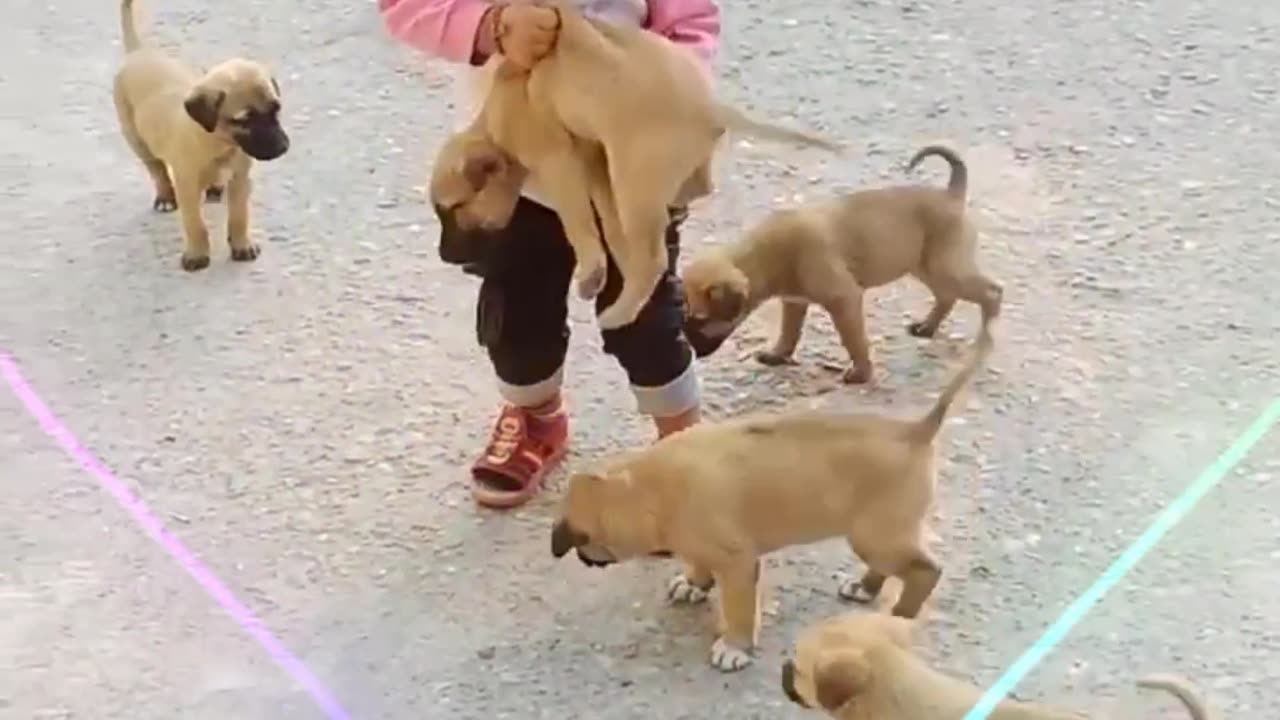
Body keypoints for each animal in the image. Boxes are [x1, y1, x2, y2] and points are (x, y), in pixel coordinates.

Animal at [111, 0, 289, 270]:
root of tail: (138, 53)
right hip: (135, 138)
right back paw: (165, 196)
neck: (217, 142)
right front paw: (196, 254)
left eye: (276, 108)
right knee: (156, 169)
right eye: (243, 120)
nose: (283, 147)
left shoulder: (240, 179)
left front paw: (242, 245)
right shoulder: (186, 185)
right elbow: (195, 224)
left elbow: (240, 216)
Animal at [427, 0, 839, 327]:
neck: (495, 117)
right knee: (688, 197)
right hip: (633, 175)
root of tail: (707, 106)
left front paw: (593, 272)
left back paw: (620, 313)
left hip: (633, 180)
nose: (443, 256)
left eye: (453, 210)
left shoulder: (559, 162)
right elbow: (609, 226)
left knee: (655, 257)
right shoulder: (595, 163)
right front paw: (618, 264)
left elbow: (578, 222)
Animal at [545, 316, 993, 671]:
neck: (644, 488)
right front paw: (695, 583)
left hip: (876, 535)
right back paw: (865, 587)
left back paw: (897, 618)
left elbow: (739, 609)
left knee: (925, 571)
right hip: (876, 536)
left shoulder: (739, 563)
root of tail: (916, 430)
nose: (581, 557)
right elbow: (699, 563)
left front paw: (735, 647)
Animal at [680, 143, 998, 384]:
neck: (764, 256)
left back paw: (986, 333)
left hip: (947, 267)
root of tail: (951, 195)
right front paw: (778, 355)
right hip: (926, 266)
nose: (691, 355)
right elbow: (789, 332)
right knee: (947, 295)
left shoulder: (844, 300)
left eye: (700, 319)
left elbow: (854, 339)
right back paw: (928, 328)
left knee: (991, 291)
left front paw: (861, 373)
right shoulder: (794, 301)